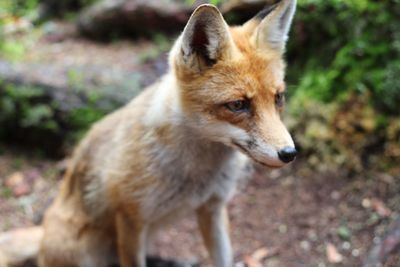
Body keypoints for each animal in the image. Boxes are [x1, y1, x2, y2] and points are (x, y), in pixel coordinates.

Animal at [0, 0, 296, 267]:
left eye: (278, 98)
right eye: (237, 105)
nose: (289, 153)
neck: (196, 175)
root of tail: (42, 235)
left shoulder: (212, 208)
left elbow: (223, 259)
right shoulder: (131, 218)